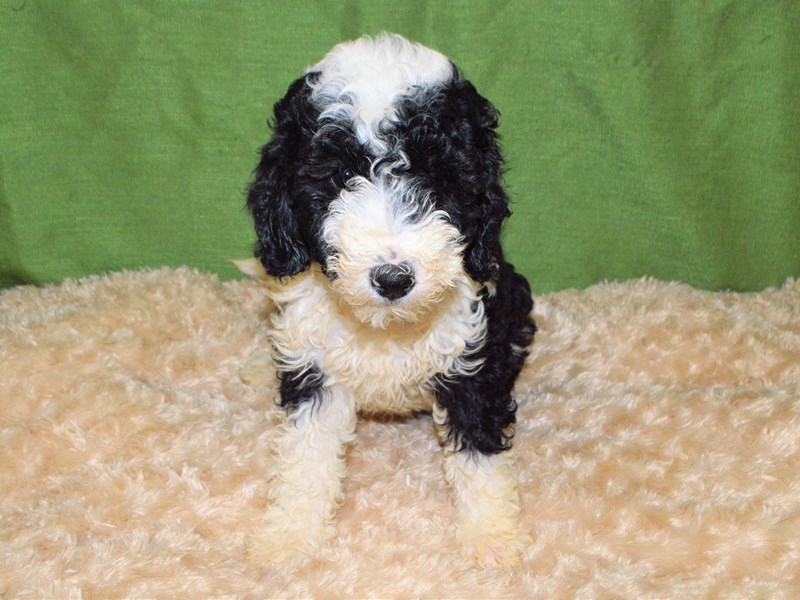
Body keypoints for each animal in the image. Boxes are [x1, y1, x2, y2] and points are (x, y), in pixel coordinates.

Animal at [247, 32, 536, 568]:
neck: (388, 325)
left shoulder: (471, 352)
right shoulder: (313, 366)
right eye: (339, 177)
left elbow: (479, 449)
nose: (393, 278)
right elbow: (305, 455)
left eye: (438, 178)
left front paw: (491, 536)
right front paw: (290, 535)